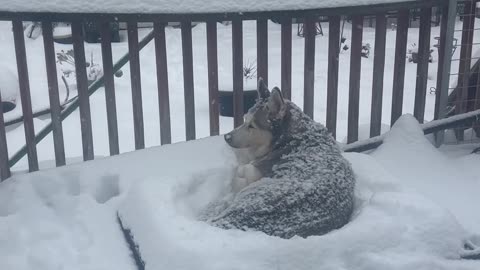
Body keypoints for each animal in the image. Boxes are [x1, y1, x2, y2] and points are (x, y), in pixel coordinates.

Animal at [202, 78, 356, 238]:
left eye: (252, 126)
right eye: (245, 119)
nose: (226, 137)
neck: (295, 140)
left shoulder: (251, 170)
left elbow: (244, 167)